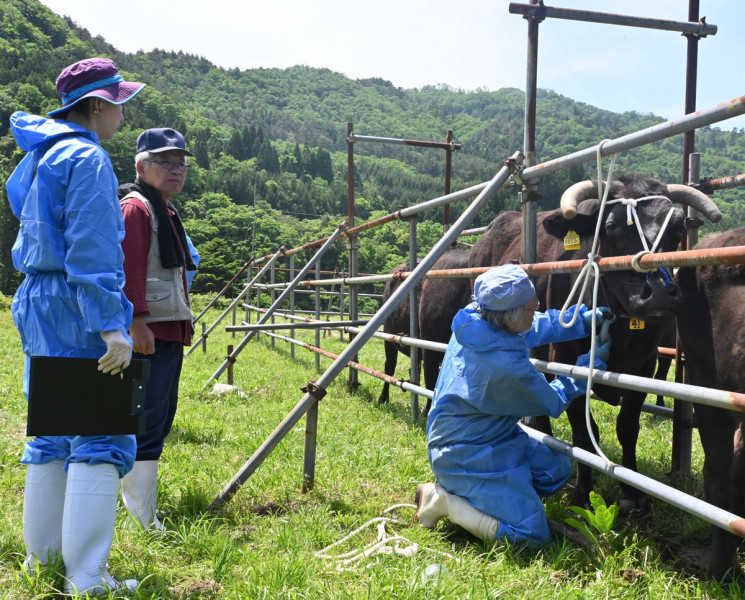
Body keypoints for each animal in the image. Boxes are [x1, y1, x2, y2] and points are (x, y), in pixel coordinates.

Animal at [378, 250, 470, 418]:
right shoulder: (429, 347)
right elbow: (431, 380)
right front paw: (427, 412)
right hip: (389, 337)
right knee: (389, 366)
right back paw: (383, 398)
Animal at [464, 173, 720, 510]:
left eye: (677, 228)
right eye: (611, 226)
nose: (660, 293)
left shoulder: (643, 366)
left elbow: (628, 427)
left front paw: (631, 493)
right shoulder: (565, 361)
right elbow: (583, 435)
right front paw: (583, 493)